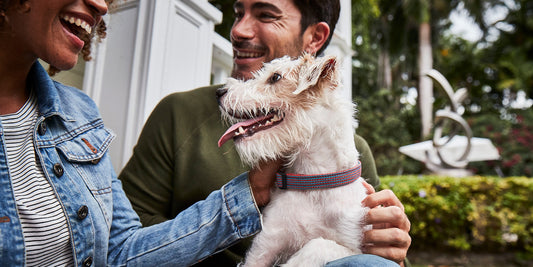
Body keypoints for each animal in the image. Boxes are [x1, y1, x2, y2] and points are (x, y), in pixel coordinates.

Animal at [216, 54, 370, 267]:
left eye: (275, 77)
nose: (219, 92)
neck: (313, 182)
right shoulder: (265, 245)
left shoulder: (355, 246)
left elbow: (318, 245)